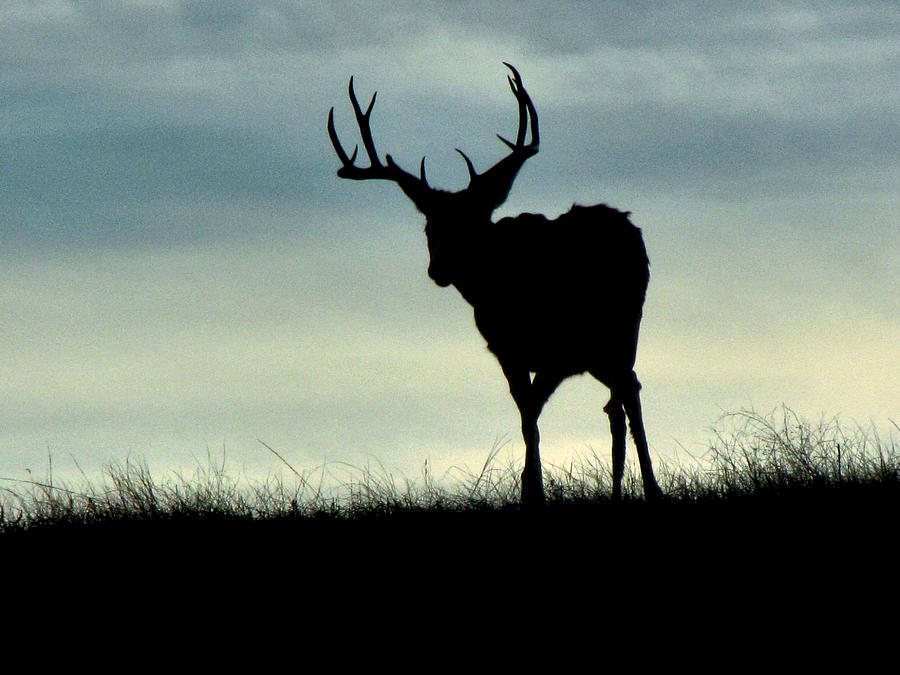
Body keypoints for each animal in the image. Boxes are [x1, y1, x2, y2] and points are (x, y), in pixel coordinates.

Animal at [328, 63, 663, 507]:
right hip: (602, 350)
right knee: (617, 402)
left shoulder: (555, 350)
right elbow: (527, 417)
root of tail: (625, 222)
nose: (439, 270)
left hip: (618, 331)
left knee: (629, 392)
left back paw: (652, 488)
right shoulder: (507, 352)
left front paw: (532, 489)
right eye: (429, 227)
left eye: (472, 224)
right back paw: (619, 490)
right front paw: (531, 490)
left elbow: (532, 412)